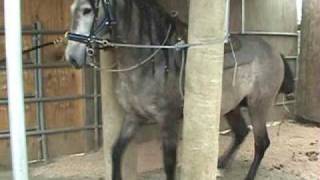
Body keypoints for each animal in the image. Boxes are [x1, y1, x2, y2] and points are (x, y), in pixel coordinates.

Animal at [65, 0, 296, 180]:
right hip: (231, 106)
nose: (72, 57)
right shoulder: (134, 116)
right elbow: (116, 152)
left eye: (87, 10)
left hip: (259, 106)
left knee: (261, 143)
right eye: (72, 9)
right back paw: (220, 163)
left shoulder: (168, 120)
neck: (153, 61)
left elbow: (169, 164)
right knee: (241, 132)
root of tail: (275, 52)